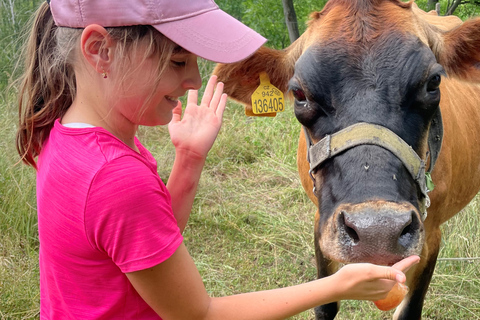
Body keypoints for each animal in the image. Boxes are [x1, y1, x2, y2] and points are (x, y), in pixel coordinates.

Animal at [214, 1, 480, 318]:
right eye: (299, 93)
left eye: (434, 82)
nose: (378, 232)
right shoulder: (321, 221)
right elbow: (324, 304)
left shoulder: (432, 234)